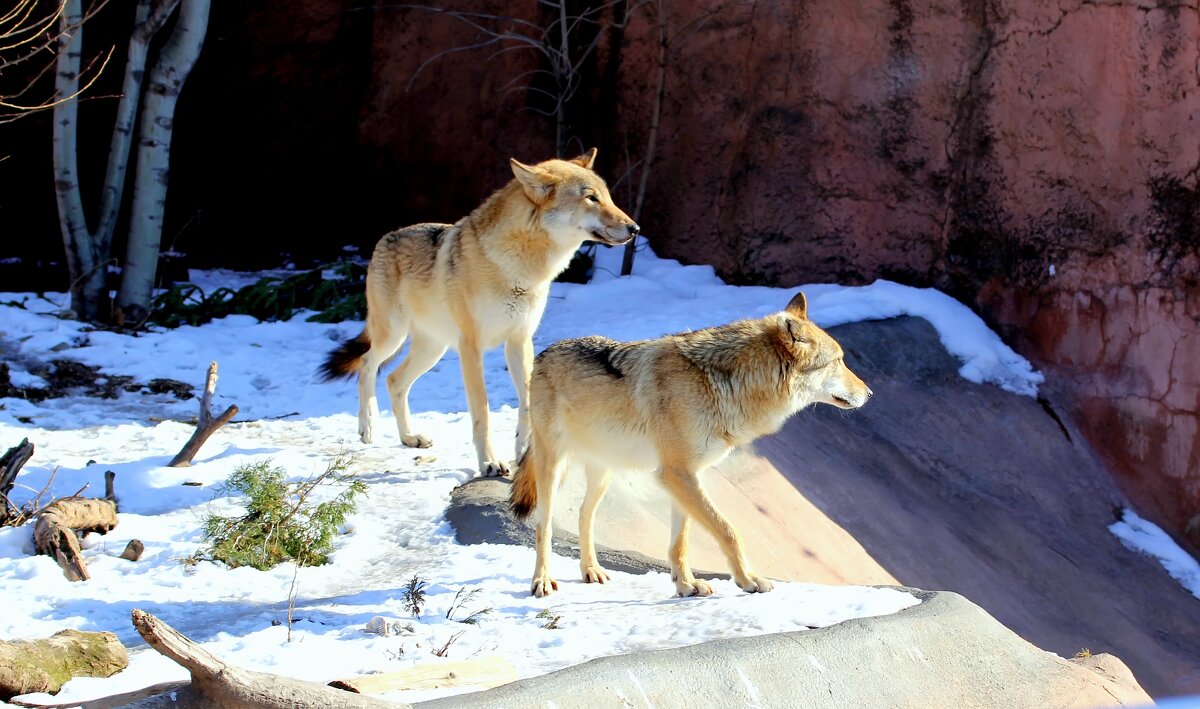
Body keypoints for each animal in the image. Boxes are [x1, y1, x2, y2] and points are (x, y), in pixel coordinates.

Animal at [319, 152, 638, 479]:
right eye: (591, 198)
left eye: (608, 197)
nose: (635, 229)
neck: (518, 269)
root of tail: (385, 237)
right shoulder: (471, 347)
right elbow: (482, 411)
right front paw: (490, 463)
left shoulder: (520, 341)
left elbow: (526, 401)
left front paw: (524, 451)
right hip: (394, 335)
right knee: (367, 364)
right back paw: (367, 426)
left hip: (433, 349)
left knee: (395, 380)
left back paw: (410, 437)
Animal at [506, 293, 873, 599]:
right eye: (838, 361)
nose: (870, 394)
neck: (723, 383)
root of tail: (545, 352)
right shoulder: (678, 474)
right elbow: (729, 531)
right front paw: (749, 580)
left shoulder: (686, 477)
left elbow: (680, 542)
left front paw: (685, 585)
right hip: (553, 469)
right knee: (543, 525)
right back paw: (541, 581)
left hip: (603, 474)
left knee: (585, 516)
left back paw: (591, 570)